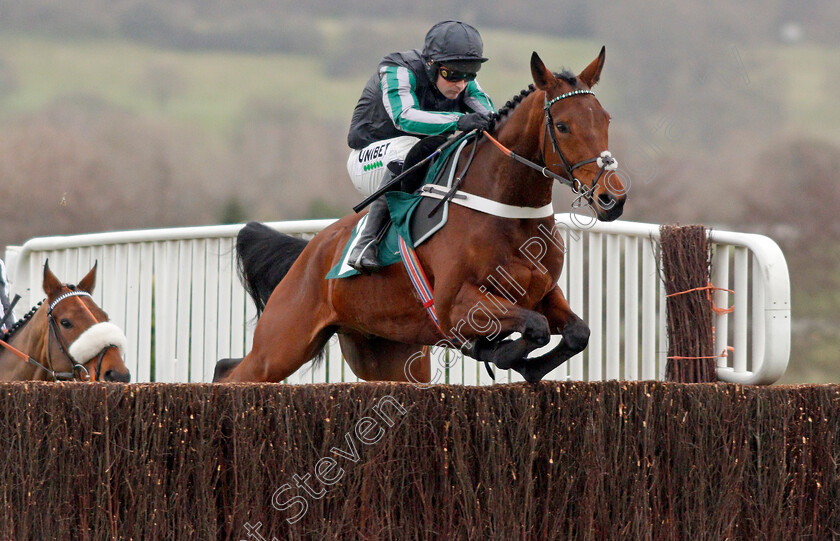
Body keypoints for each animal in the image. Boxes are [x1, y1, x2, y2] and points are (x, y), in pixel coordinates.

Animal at [217, 47, 624, 384]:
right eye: (563, 126)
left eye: (605, 119)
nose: (612, 198)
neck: (510, 213)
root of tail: (309, 252)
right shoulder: (453, 306)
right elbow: (533, 328)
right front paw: (498, 351)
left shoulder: (544, 292)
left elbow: (577, 333)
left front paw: (518, 361)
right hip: (281, 345)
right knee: (230, 373)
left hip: (385, 353)